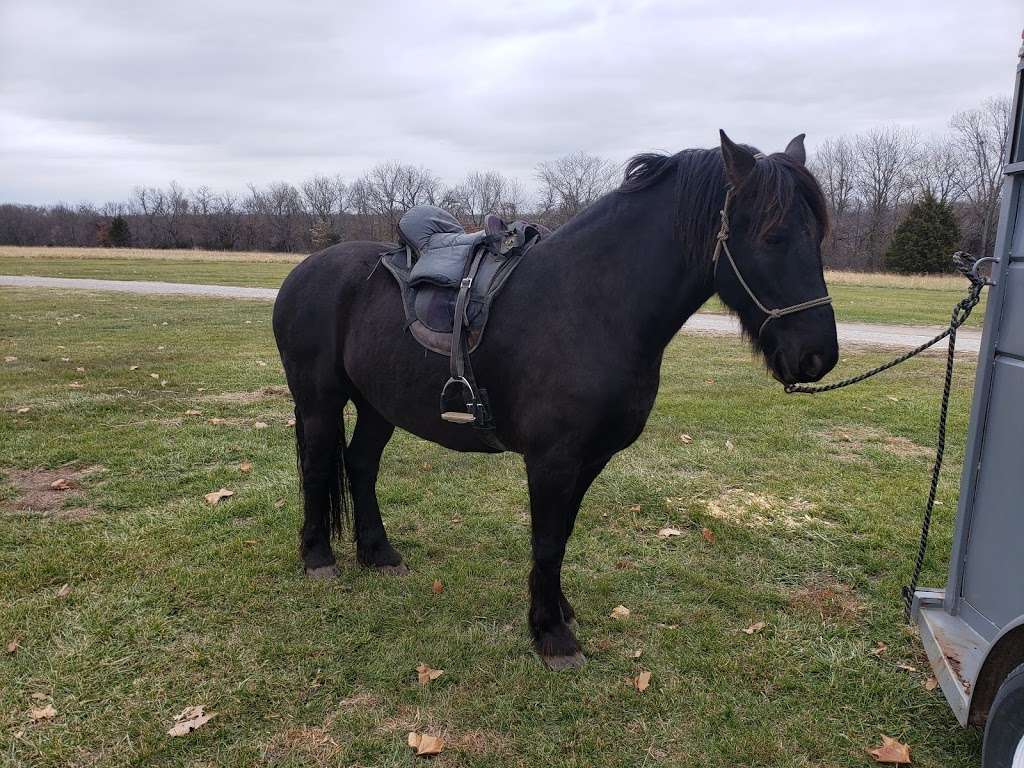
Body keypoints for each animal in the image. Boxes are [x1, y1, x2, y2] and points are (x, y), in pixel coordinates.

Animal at [274, 134, 839, 671]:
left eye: (818, 236)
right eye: (771, 236)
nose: (817, 357)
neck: (590, 305)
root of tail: (305, 270)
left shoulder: (590, 459)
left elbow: (562, 535)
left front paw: (559, 612)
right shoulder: (552, 459)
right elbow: (546, 540)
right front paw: (552, 637)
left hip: (378, 406)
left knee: (361, 464)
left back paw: (379, 553)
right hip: (319, 402)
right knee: (319, 466)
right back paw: (318, 558)